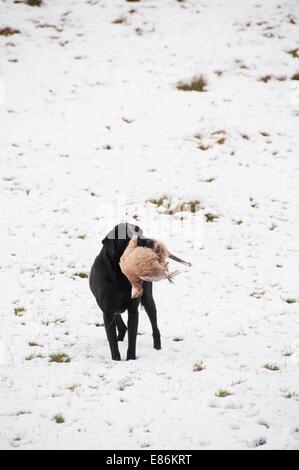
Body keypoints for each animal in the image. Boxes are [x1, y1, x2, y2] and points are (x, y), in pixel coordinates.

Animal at [89, 222, 162, 362]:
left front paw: (131, 359)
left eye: (141, 232)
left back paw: (157, 347)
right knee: (122, 326)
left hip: (148, 299)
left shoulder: (133, 311)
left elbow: (132, 338)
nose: (150, 241)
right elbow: (112, 341)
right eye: (129, 238)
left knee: (155, 326)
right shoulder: (107, 311)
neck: (120, 274)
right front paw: (116, 359)